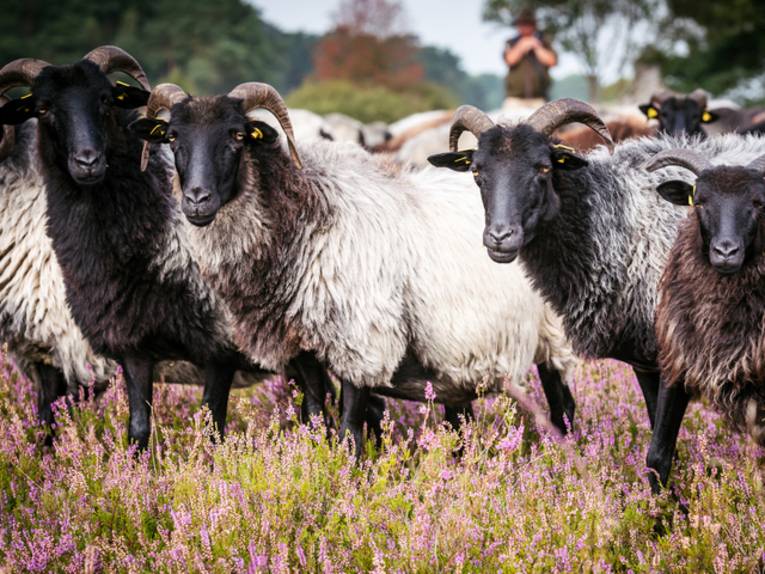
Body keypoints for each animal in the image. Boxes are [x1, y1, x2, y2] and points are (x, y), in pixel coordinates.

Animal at [0, 47, 340, 450]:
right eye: (43, 108)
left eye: (106, 100)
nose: (88, 161)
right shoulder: (124, 347)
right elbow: (129, 429)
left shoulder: (219, 349)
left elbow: (212, 428)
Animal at [128, 82, 576, 454]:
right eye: (172, 137)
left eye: (238, 136)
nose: (196, 200)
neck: (307, 220)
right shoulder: (304, 351)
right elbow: (314, 420)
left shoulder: (364, 344)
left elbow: (348, 432)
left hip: (554, 338)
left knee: (563, 410)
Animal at [648, 150, 765, 496]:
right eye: (699, 201)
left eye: (759, 202)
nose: (726, 251)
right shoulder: (677, 361)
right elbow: (657, 455)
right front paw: (661, 509)